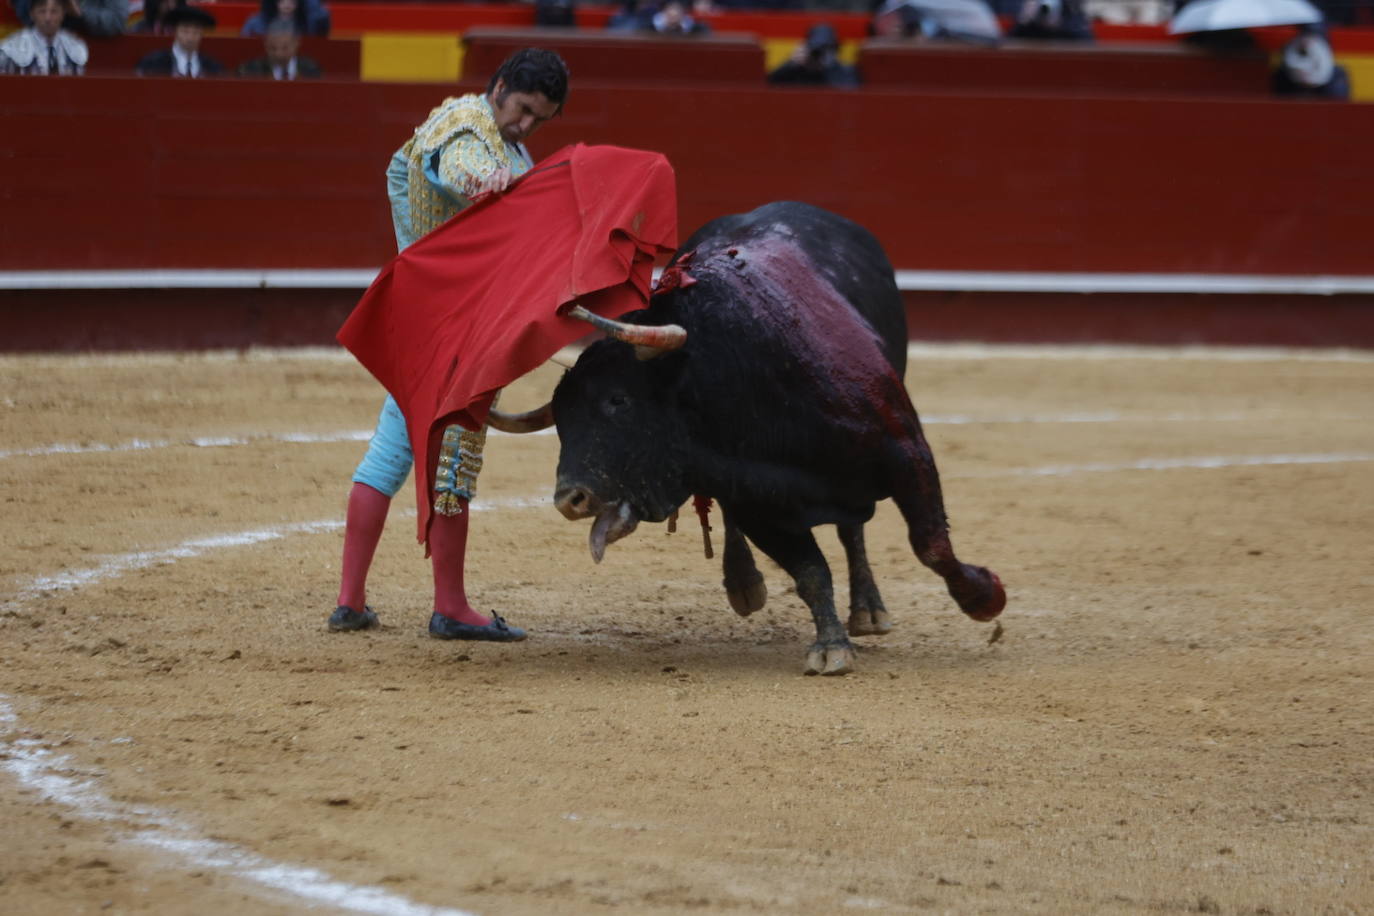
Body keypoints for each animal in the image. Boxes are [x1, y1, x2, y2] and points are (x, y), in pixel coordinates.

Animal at [522, 201, 1000, 672]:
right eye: (561, 420)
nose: (570, 499)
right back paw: (744, 584)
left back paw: (869, 610)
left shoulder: (906, 450)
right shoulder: (755, 501)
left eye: (618, 400)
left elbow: (930, 545)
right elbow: (810, 572)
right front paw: (831, 645)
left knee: (854, 531)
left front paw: (985, 595)